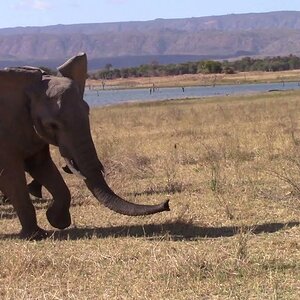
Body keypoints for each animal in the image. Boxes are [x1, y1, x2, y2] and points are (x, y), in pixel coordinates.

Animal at [0, 51, 169, 239]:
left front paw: (56, 221)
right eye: (52, 125)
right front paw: (35, 235)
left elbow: (42, 167)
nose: (167, 203)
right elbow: (11, 176)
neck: (28, 85)